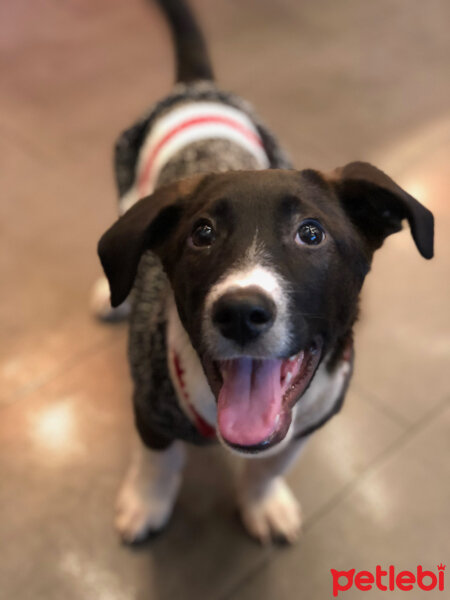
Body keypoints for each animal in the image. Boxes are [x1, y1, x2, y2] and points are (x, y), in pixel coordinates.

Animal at [96, 0, 434, 544]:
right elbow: (159, 461)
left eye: (311, 233)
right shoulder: (149, 407)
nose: (240, 312)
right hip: (127, 182)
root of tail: (196, 89)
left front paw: (262, 502)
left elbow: (270, 467)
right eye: (202, 233)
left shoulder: (307, 424)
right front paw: (146, 503)